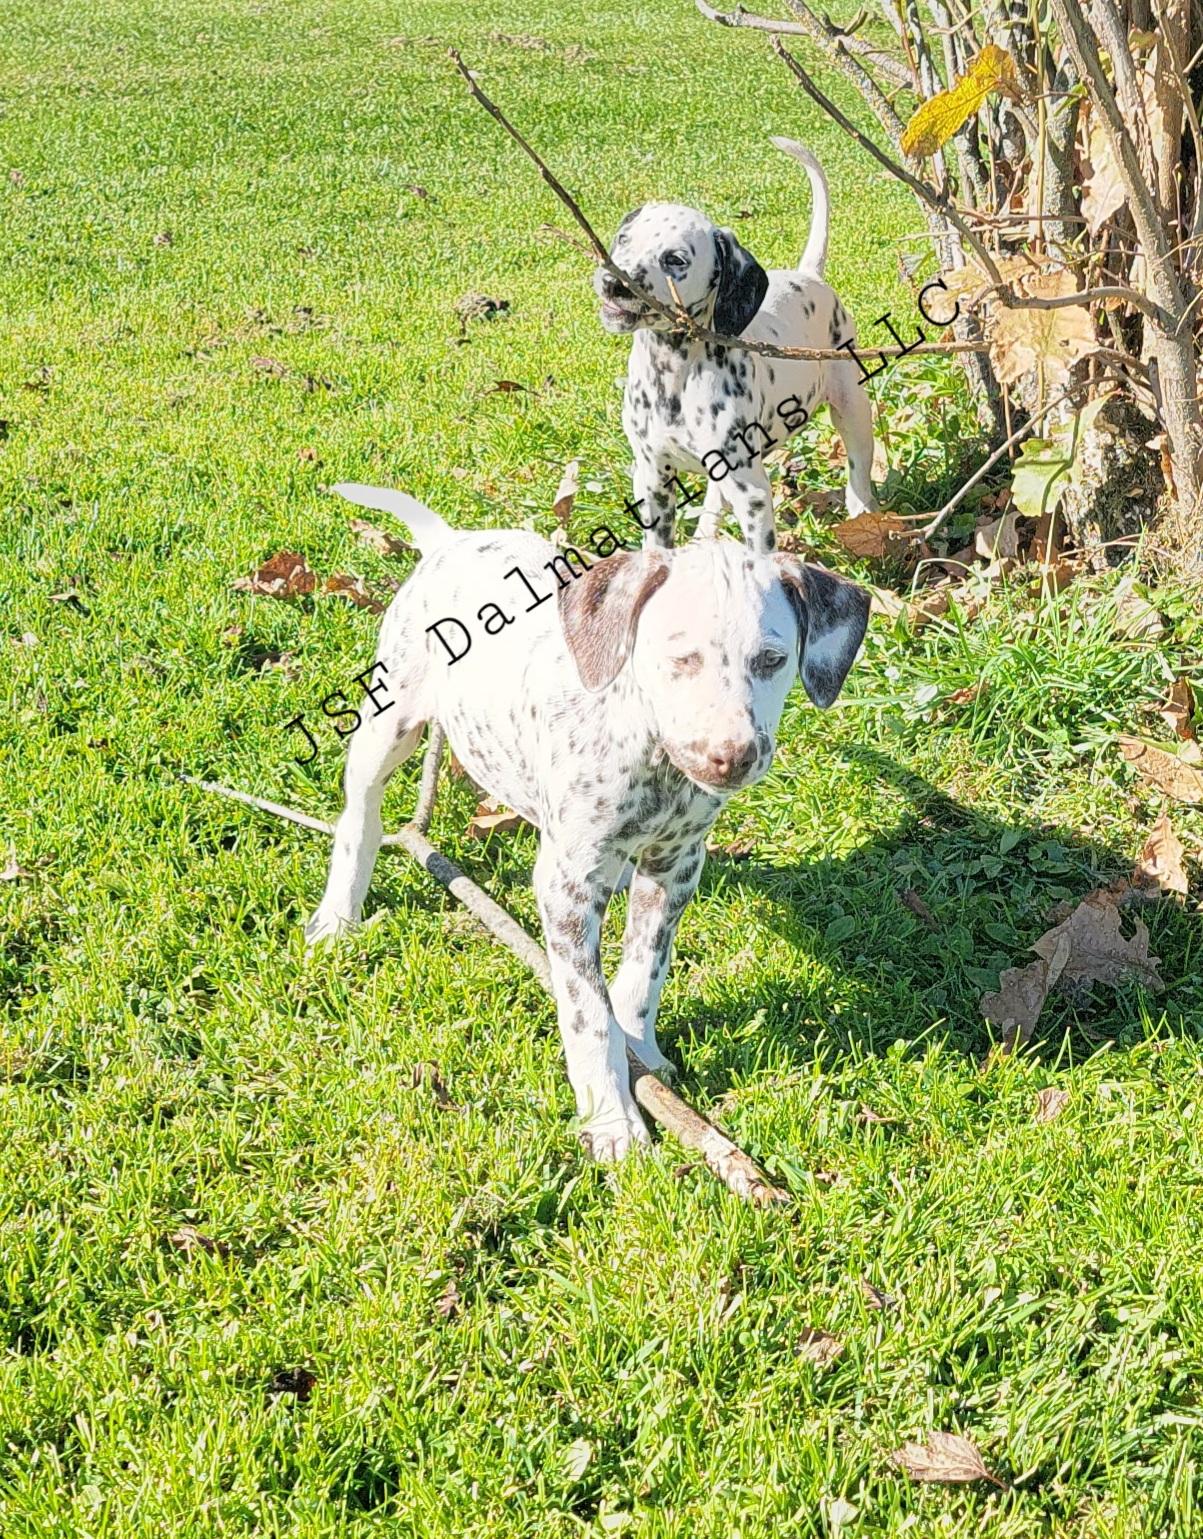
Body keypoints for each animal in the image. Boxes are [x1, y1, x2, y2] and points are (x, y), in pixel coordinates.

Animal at [305, 483, 870, 1159]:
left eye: (772, 660)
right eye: (678, 658)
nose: (730, 757)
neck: (652, 760)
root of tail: (451, 542)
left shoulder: (675, 868)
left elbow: (643, 974)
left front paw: (643, 1050)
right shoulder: (567, 887)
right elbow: (586, 1012)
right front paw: (612, 1118)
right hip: (387, 722)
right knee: (358, 819)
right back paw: (339, 915)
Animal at [595, 137, 879, 557]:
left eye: (675, 259)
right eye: (624, 239)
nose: (612, 282)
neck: (674, 375)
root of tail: (808, 276)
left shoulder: (752, 492)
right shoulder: (652, 478)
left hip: (851, 405)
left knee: (859, 467)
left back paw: (865, 515)